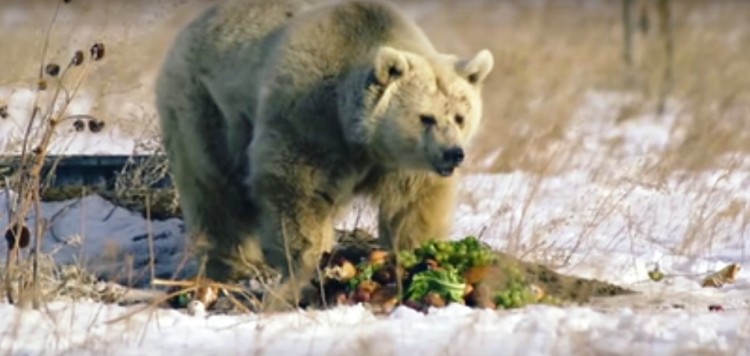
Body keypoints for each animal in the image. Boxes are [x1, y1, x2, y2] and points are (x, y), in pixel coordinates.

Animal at [156, 0, 496, 308]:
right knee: (213, 190)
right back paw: (231, 265)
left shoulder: (403, 165)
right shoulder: (309, 122)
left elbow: (412, 207)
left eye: (460, 116)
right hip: (204, 107)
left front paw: (420, 256)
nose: (453, 154)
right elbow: (298, 196)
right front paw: (309, 270)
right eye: (426, 117)